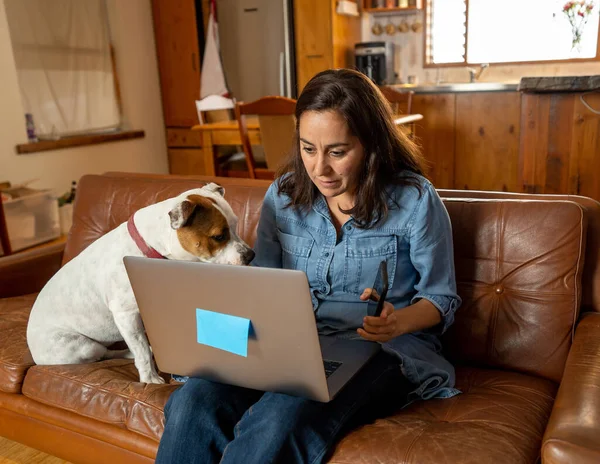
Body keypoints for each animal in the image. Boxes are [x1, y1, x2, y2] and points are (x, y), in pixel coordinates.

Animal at [27, 184, 252, 384]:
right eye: (219, 236)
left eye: (236, 225)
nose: (250, 255)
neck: (155, 246)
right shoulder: (126, 315)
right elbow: (141, 350)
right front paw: (150, 379)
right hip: (82, 347)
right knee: (106, 353)